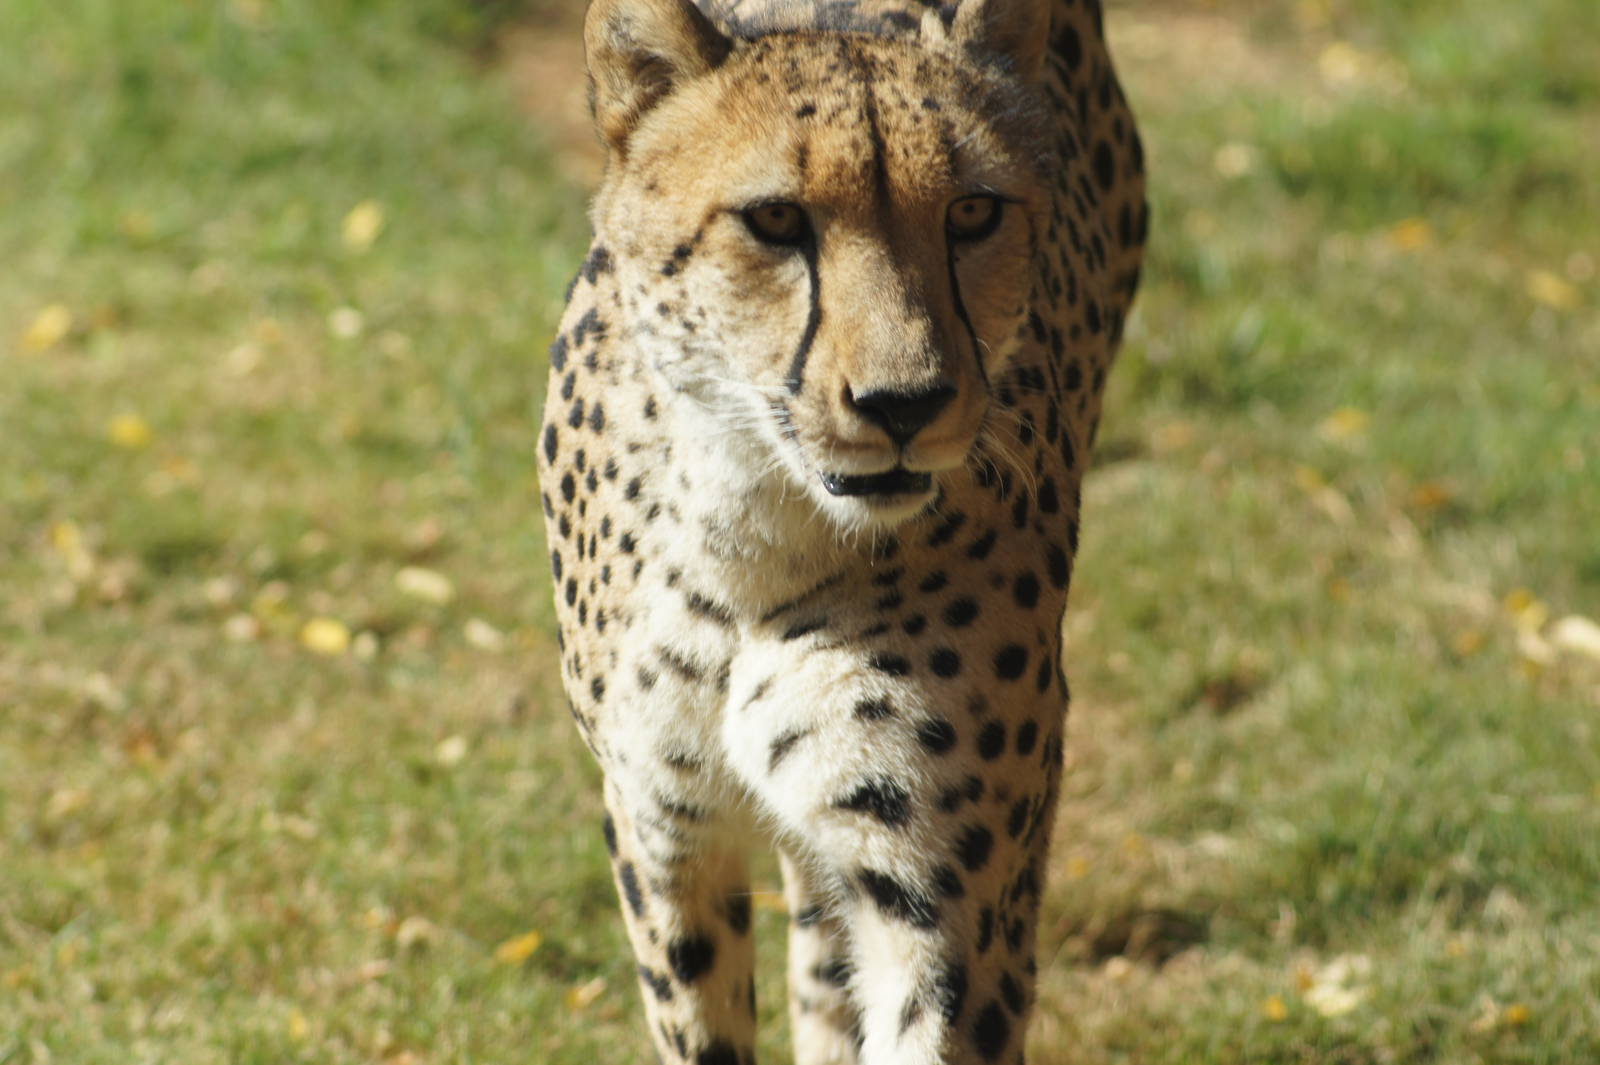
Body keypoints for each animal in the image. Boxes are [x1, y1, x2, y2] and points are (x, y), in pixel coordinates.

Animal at [536, 0, 1146, 1060]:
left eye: (974, 212)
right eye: (776, 219)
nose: (906, 403)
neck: (747, 537)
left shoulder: (943, 893)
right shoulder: (661, 829)